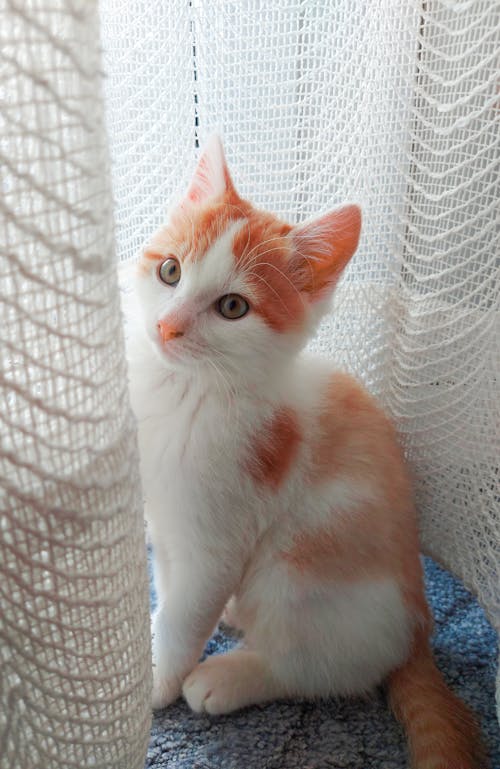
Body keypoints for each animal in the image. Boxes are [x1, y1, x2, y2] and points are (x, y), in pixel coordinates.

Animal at [127, 135, 486, 764]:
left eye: (233, 308)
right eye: (170, 271)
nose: (167, 327)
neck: (189, 395)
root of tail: (420, 632)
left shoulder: (218, 534)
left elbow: (186, 613)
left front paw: (157, 682)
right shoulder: (167, 522)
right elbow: (169, 590)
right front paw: (153, 630)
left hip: (299, 570)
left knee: (330, 669)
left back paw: (231, 677)